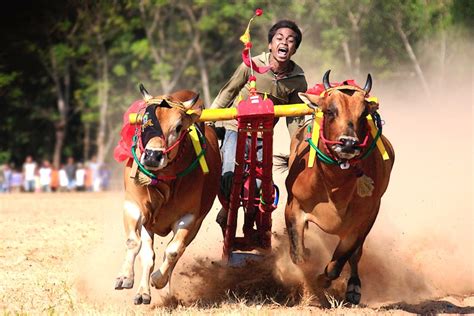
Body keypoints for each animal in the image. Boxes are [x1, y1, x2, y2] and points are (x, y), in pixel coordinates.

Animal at [115, 86, 220, 304]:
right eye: (144, 122)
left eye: (178, 127)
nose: (152, 156)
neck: (164, 184)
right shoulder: (133, 206)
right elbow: (135, 243)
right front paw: (125, 277)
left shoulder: (189, 218)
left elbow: (173, 251)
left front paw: (158, 279)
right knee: (148, 255)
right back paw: (142, 293)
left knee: (176, 252)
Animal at [284, 71, 394, 304]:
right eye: (330, 111)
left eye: (363, 113)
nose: (349, 144)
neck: (334, 187)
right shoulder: (294, 207)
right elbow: (298, 256)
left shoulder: (361, 222)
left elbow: (338, 263)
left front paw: (322, 281)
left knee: (356, 256)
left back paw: (353, 287)